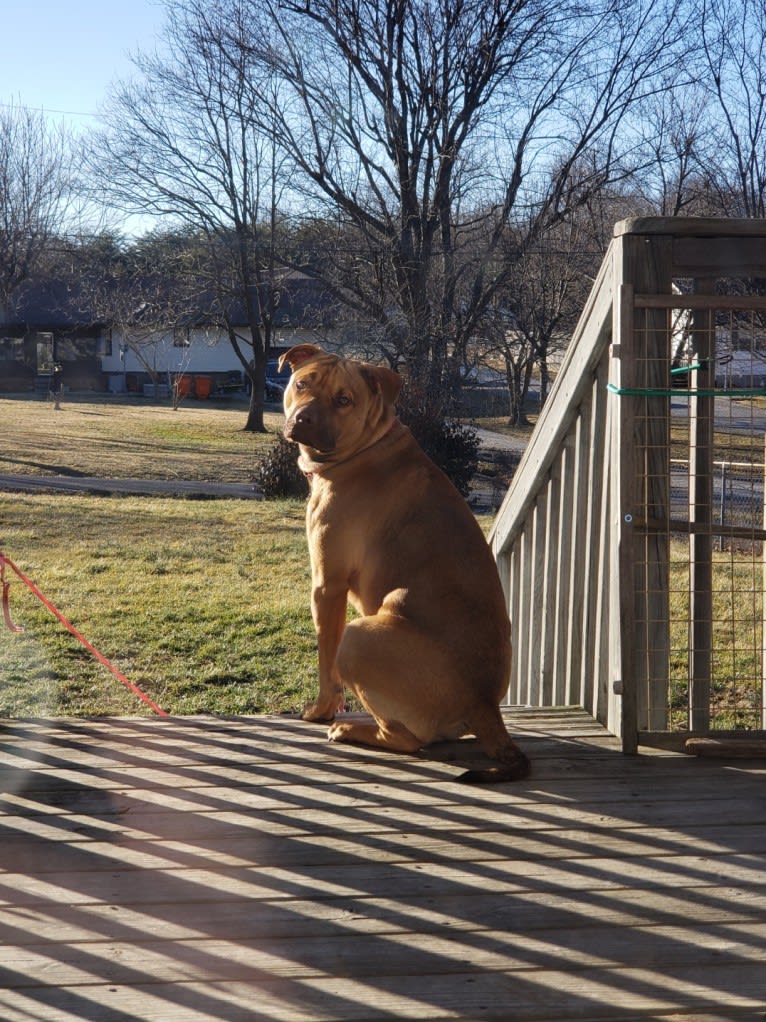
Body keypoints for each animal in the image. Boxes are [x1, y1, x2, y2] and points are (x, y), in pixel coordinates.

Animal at [279, 343, 531, 780]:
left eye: (343, 400)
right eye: (302, 384)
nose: (303, 419)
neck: (366, 446)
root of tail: (485, 706)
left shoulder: (327, 586)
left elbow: (326, 665)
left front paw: (322, 711)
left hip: (358, 637)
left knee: (406, 739)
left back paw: (351, 729)